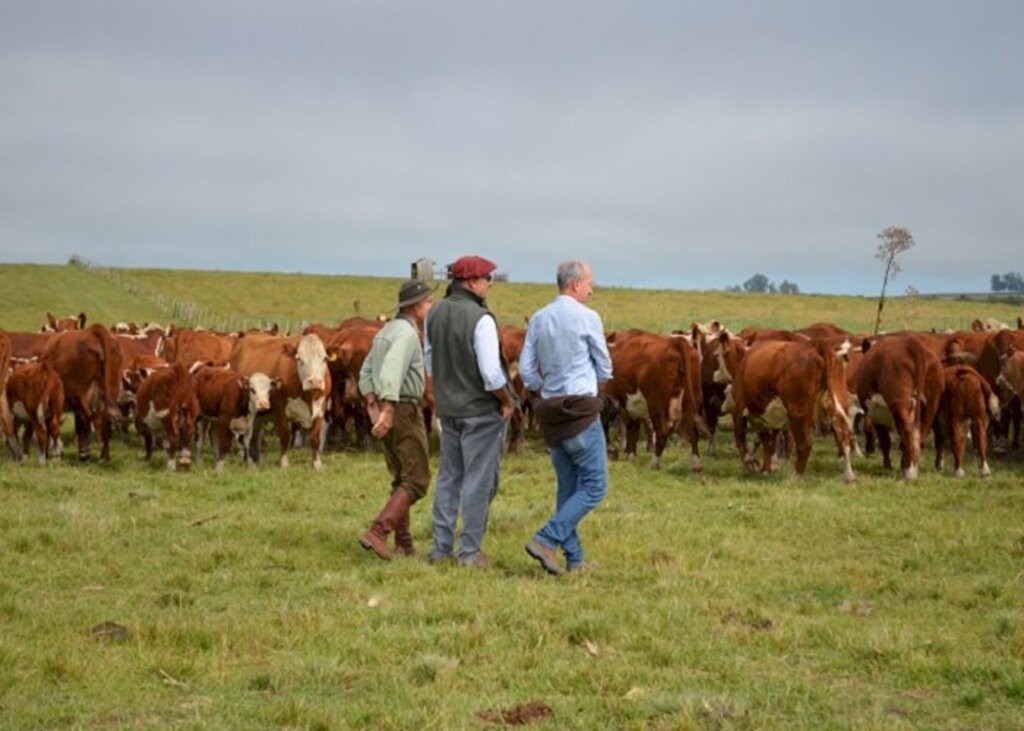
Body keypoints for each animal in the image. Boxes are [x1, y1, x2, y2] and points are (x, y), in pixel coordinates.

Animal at [40, 321, 123, 458]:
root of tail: (94, 330)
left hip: (77, 394)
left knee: (85, 418)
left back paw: (84, 453)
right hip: (109, 389)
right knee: (103, 418)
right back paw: (103, 456)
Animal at [227, 333, 331, 468]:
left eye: (324, 359)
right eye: (299, 359)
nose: (314, 381)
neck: (308, 396)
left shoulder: (321, 409)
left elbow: (315, 438)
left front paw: (316, 464)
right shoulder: (281, 409)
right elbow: (285, 435)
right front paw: (283, 462)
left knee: (255, 434)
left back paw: (257, 459)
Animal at [598, 333, 704, 468]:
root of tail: (675, 341)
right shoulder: (631, 405)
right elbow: (633, 427)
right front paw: (631, 455)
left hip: (656, 403)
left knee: (662, 431)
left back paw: (654, 463)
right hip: (691, 398)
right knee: (693, 428)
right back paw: (696, 464)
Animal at [720, 329, 856, 479]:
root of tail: (818, 347)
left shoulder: (740, 408)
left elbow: (741, 436)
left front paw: (751, 464)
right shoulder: (768, 418)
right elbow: (769, 442)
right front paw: (766, 469)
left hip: (798, 412)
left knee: (805, 443)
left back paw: (795, 476)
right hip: (836, 403)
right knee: (844, 436)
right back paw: (849, 476)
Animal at [856, 333, 942, 479]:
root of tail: (915, 346)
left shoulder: (877, 412)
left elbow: (885, 440)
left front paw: (887, 465)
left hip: (901, 404)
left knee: (908, 432)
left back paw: (909, 472)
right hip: (931, 405)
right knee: (919, 436)